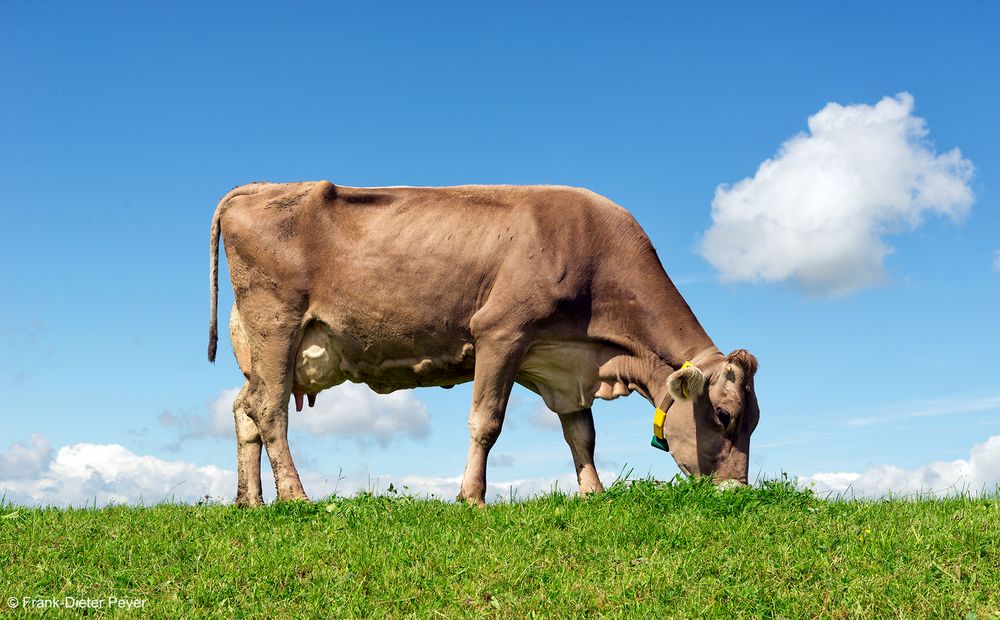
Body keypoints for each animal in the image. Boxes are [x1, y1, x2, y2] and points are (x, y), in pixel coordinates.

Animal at [209, 182, 756, 506]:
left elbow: (582, 435)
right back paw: (295, 497)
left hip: (264, 351)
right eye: (723, 415)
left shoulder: (563, 363)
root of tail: (256, 188)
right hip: (275, 326)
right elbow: (486, 423)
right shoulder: (501, 331)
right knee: (270, 411)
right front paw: (471, 497)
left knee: (245, 410)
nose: (736, 491)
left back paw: (250, 501)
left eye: (753, 422)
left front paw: (593, 493)